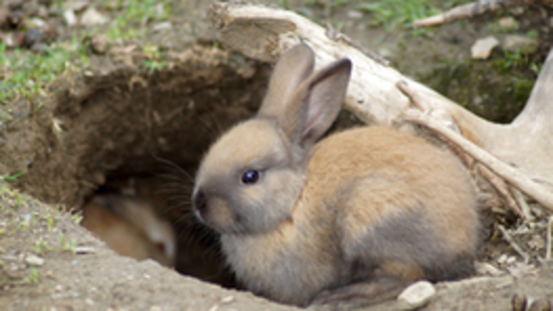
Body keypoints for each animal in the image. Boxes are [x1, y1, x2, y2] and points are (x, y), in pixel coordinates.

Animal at [191, 43, 478, 310]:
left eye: (250, 176)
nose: (200, 203)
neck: (292, 202)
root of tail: (466, 238)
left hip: (370, 213)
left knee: (408, 275)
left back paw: (342, 296)